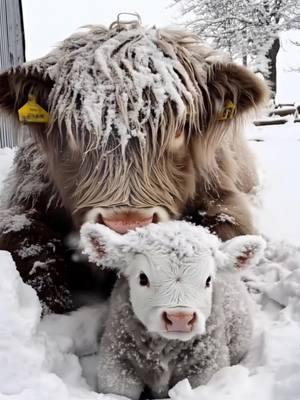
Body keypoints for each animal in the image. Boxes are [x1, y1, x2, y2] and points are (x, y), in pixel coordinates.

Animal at [0, 18, 268, 312]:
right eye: (72, 130)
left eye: (179, 130)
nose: (126, 225)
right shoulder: (21, 205)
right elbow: (28, 248)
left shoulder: (223, 197)